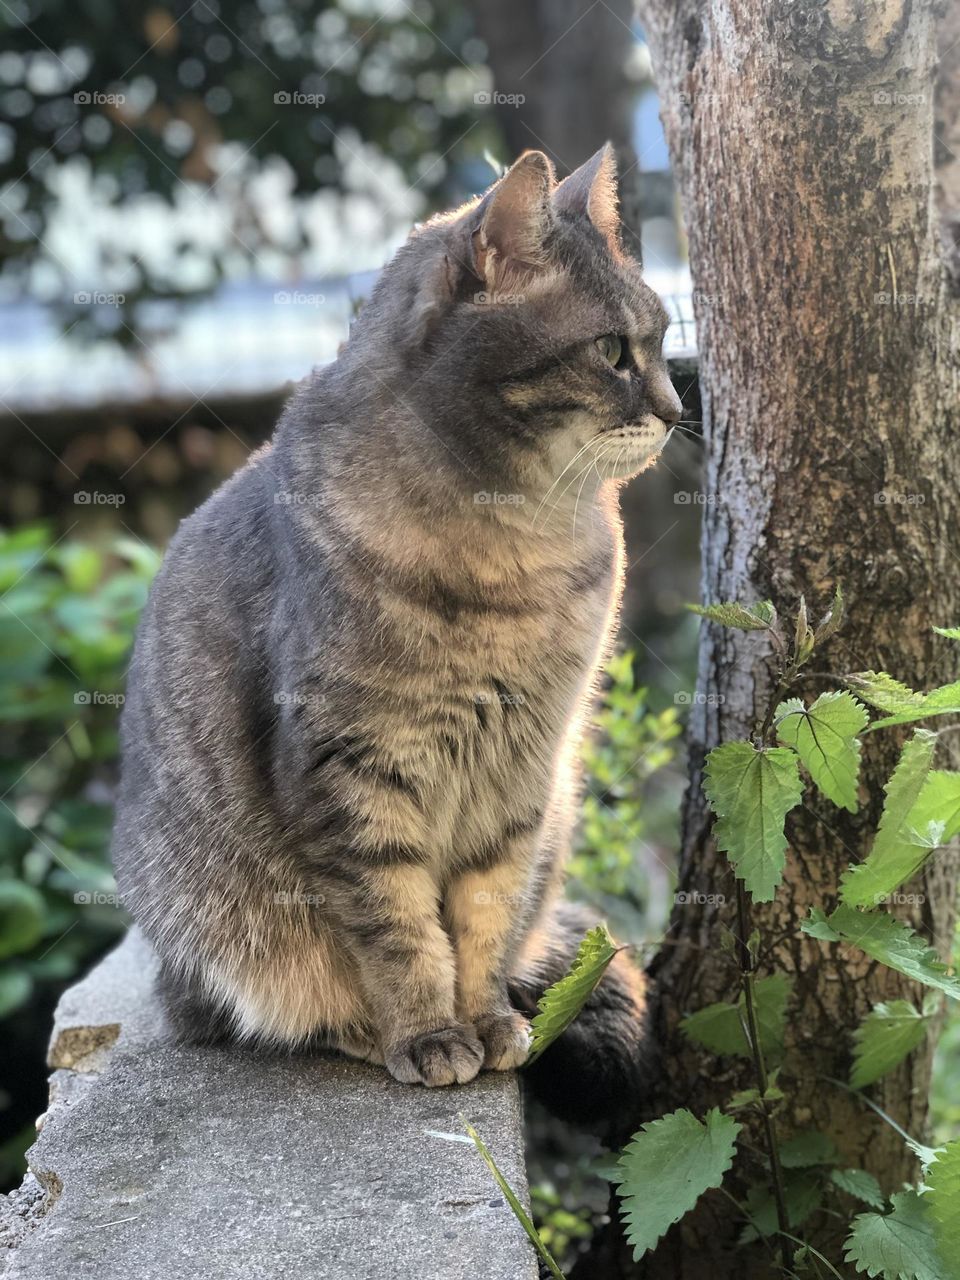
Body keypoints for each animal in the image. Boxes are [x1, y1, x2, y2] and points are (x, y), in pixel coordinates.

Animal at [114, 142, 686, 1100]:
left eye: (665, 340)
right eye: (611, 350)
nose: (679, 412)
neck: (514, 552)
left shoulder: (522, 774)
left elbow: (486, 917)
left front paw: (485, 1020)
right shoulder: (351, 766)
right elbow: (400, 927)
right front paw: (427, 1033)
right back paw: (353, 1029)